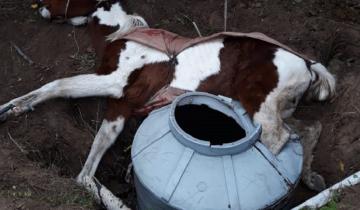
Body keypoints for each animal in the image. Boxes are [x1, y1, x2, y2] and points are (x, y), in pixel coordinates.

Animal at [1, 0, 336, 209]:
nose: (41, 7)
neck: (121, 33)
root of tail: (308, 65)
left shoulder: (116, 83)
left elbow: (58, 87)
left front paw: (10, 108)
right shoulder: (121, 105)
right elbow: (92, 162)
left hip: (261, 107)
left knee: (278, 142)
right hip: (276, 108)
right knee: (308, 129)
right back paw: (312, 178)